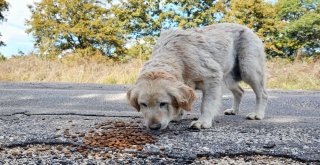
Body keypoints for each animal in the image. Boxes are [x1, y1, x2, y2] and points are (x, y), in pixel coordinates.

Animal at [127, 22, 268, 130]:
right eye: (143, 104)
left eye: (163, 103)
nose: (154, 127)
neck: (177, 55)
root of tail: (247, 28)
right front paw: (177, 115)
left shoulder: (212, 76)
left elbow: (206, 105)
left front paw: (203, 122)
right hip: (228, 77)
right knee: (240, 91)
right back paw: (234, 110)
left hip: (248, 69)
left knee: (262, 94)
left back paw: (257, 114)